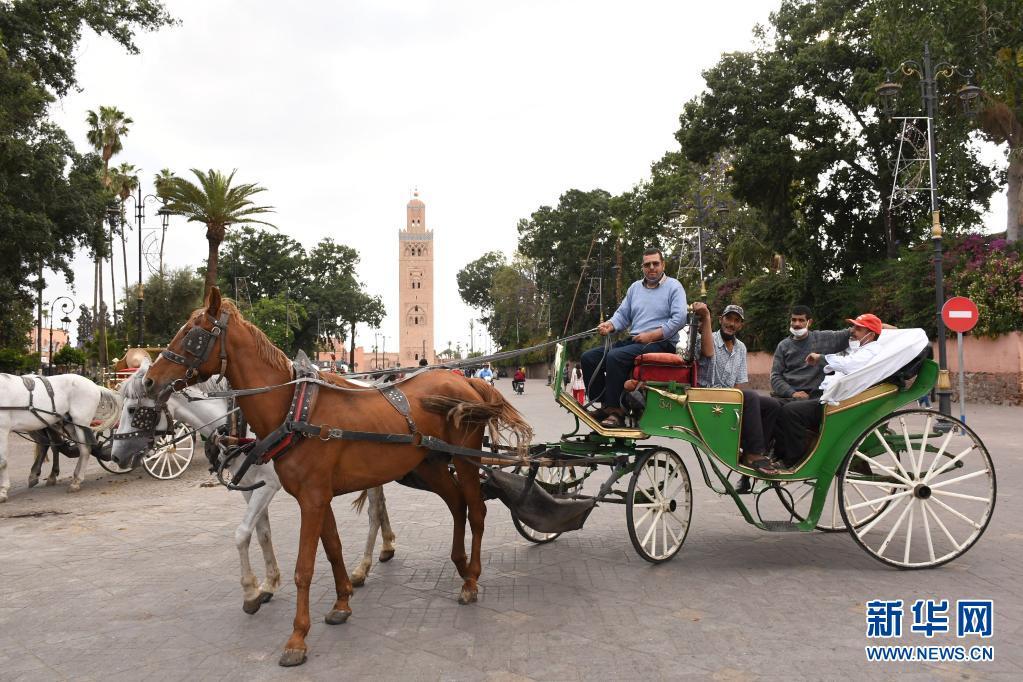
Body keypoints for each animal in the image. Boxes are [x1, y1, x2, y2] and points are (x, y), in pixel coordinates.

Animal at [112, 359, 396, 617]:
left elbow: (242, 534)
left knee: (373, 513)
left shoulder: (267, 486)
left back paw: (363, 567)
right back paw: (387, 547)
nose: (115, 456)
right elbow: (262, 534)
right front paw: (269, 583)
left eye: (132, 410)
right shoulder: (250, 487)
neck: (239, 426)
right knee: (381, 508)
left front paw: (250, 593)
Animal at [144, 288, 531, 666]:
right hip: (429, 463)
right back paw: (461, 566)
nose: (150, 381)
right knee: (456, 505)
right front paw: (342, 602)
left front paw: (297, 638)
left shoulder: (311, 499)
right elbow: (332, 549)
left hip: (464, 458)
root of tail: (467, 383)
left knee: (475, 510)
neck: (293, 408)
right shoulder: (317, 496)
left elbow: (304, 567)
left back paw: (472, 579)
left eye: (192, 335)